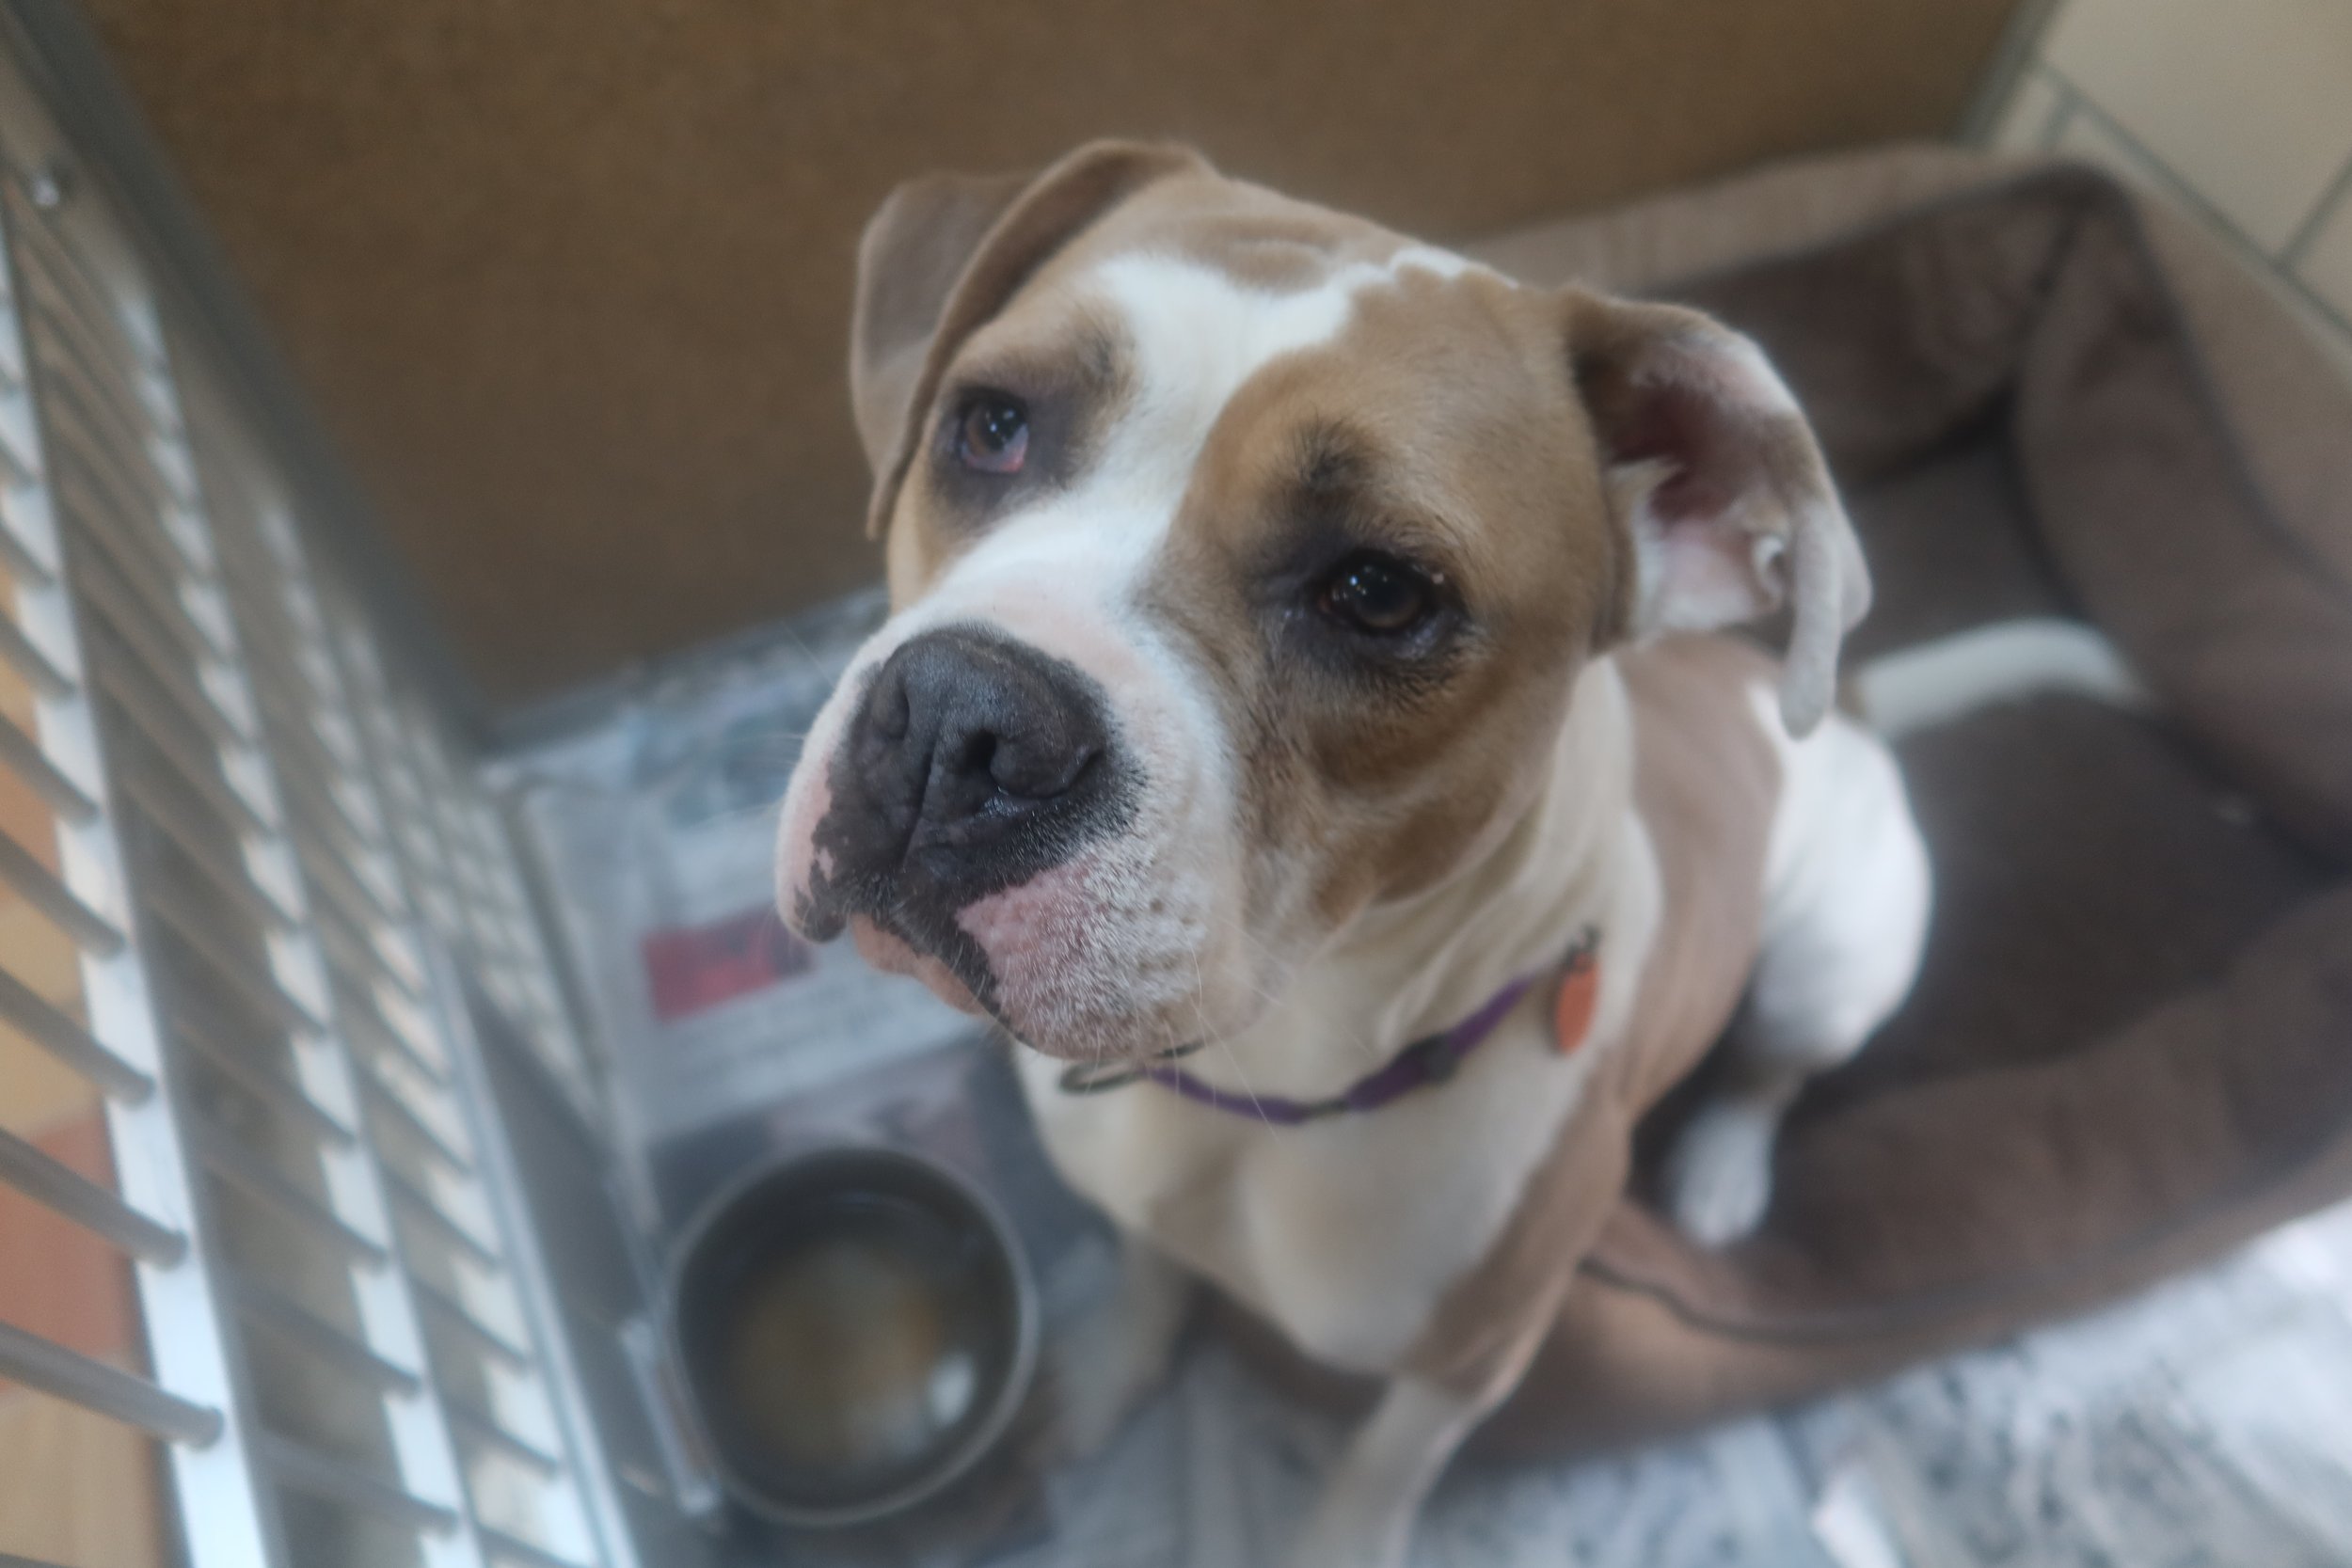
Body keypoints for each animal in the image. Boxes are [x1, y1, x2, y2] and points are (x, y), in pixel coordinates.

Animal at [774, 141, 1930, 1567]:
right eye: (989, 424)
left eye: (1379, 591)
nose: (955, 721)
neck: (1264, 1085)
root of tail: (1834, 705)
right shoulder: (1150, 1204)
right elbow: (1150, 1279)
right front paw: (1105, 1373)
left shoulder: (1465, 1365)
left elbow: (1376, 1470)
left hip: (1831, 963)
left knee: (1773, 1069)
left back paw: (1722, 1169)